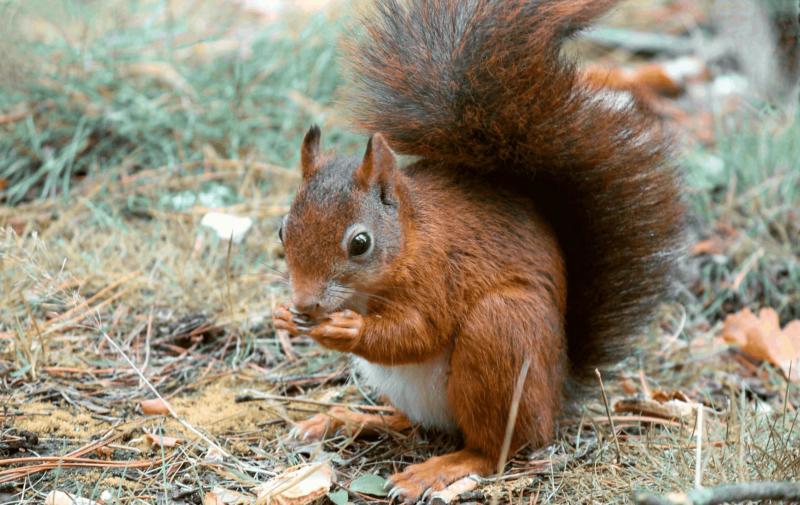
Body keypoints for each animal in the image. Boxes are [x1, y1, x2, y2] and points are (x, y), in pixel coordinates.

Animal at [272, 0, 684, 500]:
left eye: (360, 243)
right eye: (281, 231)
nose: (304, 303)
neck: (411, 237)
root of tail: (557, 391)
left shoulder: (442, 272)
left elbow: (418, 332)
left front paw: (346, 329)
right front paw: (283, 316)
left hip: (501, 332)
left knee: (498, 447)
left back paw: (439, 468)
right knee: (412, 424)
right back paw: (347, 418)